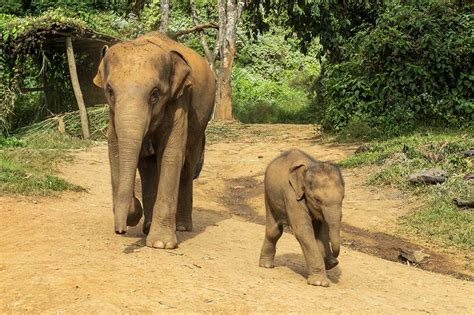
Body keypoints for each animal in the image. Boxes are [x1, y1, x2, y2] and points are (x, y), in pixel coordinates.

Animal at [93, 31, 216, 249]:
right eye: (110, 91)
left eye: (155, 93)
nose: (120, 230)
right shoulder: (113, 116)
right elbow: (115, 150)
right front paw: (133, 214)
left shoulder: (180, 100)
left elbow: (171, 155)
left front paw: (160, 244)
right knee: (149, 167)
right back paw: (148, 226)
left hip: (200, 125)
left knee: (186, 167)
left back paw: (182, 227)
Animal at [260, 149, 344, 288]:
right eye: (317, 199)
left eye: (343, 197)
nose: (335, 260)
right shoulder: (292, 195)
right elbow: (304, 231)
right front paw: (319, 282)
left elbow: (321, 231)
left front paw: (329, 264)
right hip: (269, 193)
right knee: (274, 231)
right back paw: (266, 265)